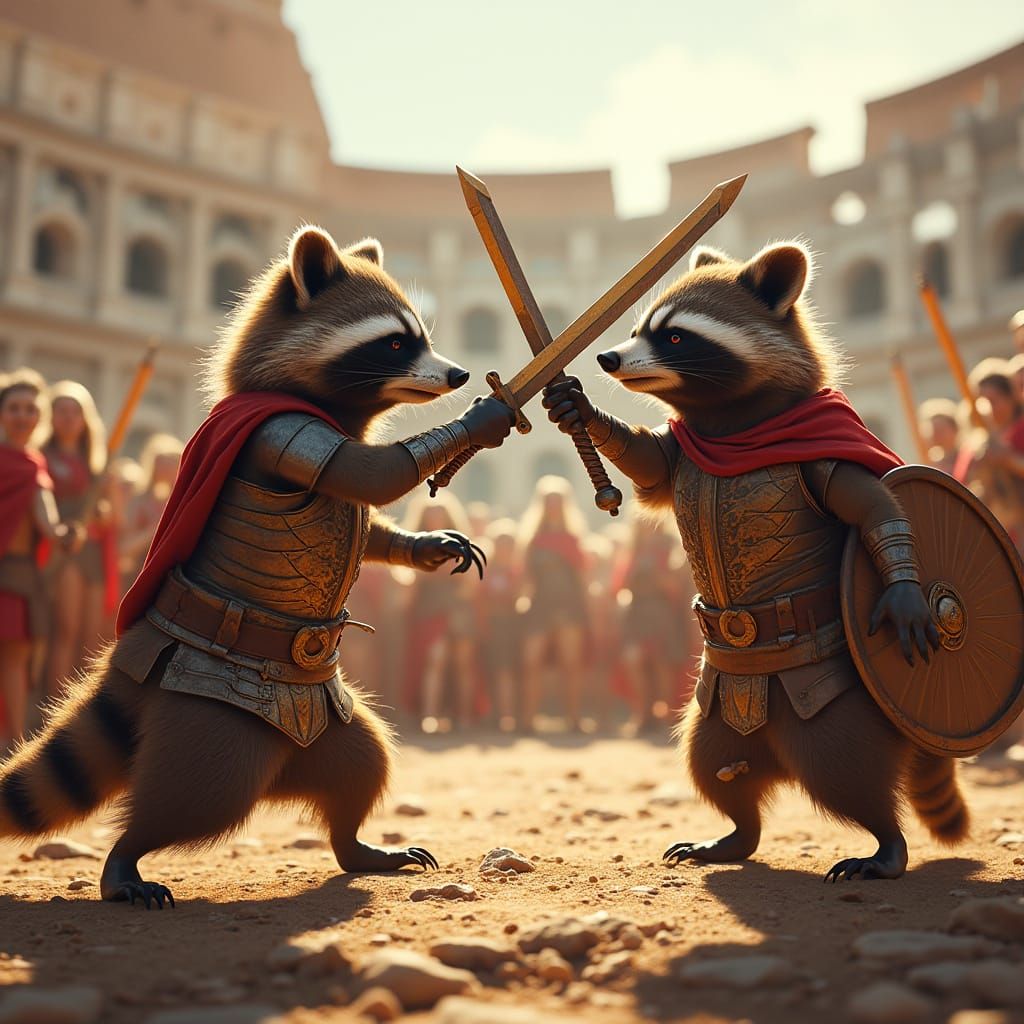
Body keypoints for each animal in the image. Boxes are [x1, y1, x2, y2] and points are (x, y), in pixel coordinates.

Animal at [0, 226, 514, 907]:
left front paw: (423, 544)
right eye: (396, 342)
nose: (457, 373)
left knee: (362, 760)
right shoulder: (279, 435)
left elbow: (369, 517)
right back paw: (125, 858)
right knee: (199, 793)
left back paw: (355, 846)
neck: (324, 402)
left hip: (324, 719)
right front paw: (483, 417)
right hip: (211, 714)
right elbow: (370, 475)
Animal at [545, 242, 965, 882]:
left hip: (828, 705)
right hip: (717, 707)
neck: (736, 426)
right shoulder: (686, 452)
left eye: (674, 337)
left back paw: (886, 845)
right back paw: (736, 834)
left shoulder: (823, 451)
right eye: (641, 328)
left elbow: (876, 509)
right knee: (714, 764)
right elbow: (649, 463)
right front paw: (579, 409)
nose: (608, 356)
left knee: (847, 768)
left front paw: (906, 595)